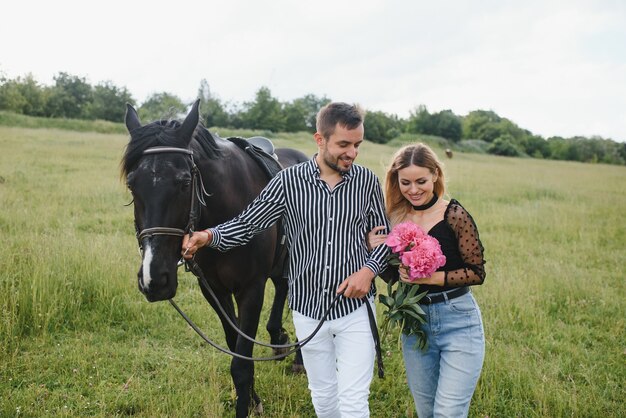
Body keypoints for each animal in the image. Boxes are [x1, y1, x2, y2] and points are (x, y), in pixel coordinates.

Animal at [121, 99, 308, 416]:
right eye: (132, 185)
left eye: (185, 183)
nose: (153, 279)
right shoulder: (214, 290)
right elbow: (235, 347)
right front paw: (253, 399)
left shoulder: (251, 289)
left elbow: (241, 363)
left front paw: (247, 405)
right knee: (283, 285)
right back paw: (278, 339)